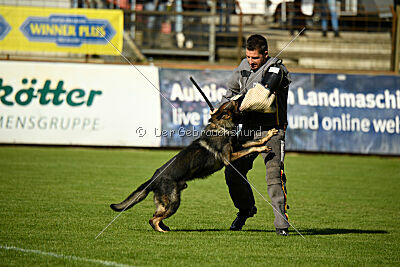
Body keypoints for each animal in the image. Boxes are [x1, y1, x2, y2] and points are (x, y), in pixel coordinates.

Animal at [111, 100, 276, 232]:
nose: (240, 96)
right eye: (234, 103)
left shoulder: (237, 146)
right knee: (153, 219)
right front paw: (262, 148)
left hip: (166, 203)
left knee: (155, 215)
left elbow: (253, 142)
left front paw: (267, 136)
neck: (222, 126)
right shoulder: (229, 157)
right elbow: (251, 148)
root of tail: (154, 178)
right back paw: (161, 230)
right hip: (174, 202)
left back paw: (165, 227)